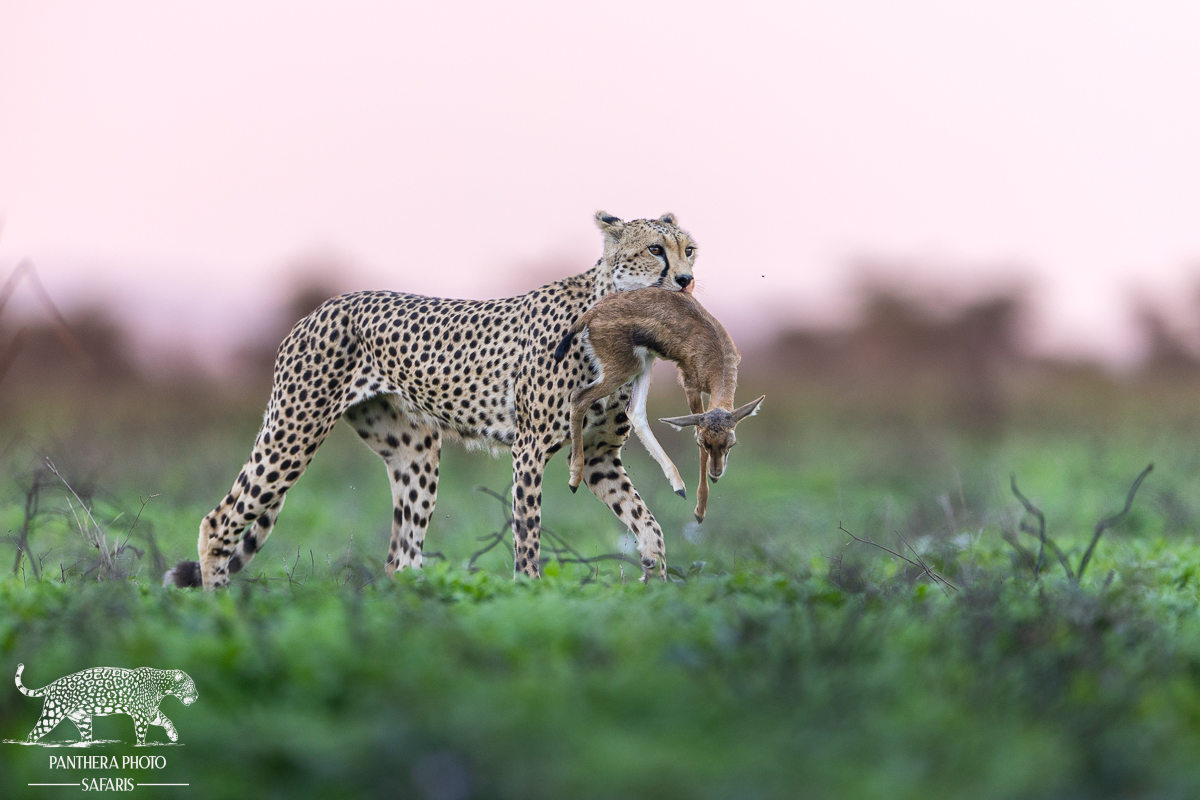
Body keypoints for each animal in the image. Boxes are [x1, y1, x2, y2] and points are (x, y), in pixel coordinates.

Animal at [553, 286, 764, 522]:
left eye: (731, 443)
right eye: (703, 443)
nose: (716, 473)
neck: (717, 353)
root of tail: (591, 314)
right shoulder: (690, 385)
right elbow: (696, 432)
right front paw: (699, 511)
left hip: (645, 363)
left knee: (635, 412)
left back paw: (678, 486)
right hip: (626, 370)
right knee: (578, 397)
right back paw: (574, 480)